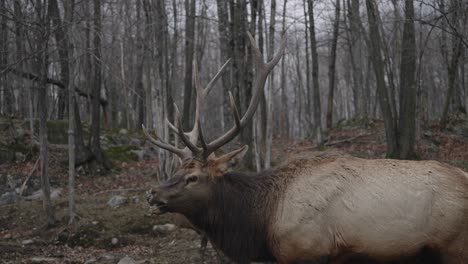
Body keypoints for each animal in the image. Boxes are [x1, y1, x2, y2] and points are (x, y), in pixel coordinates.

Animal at [143, 33, 468, 264]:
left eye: (193, 177)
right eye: (175, 169)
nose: (152, 193)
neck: (262, 224)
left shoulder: (306, 250)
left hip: (455, 248)